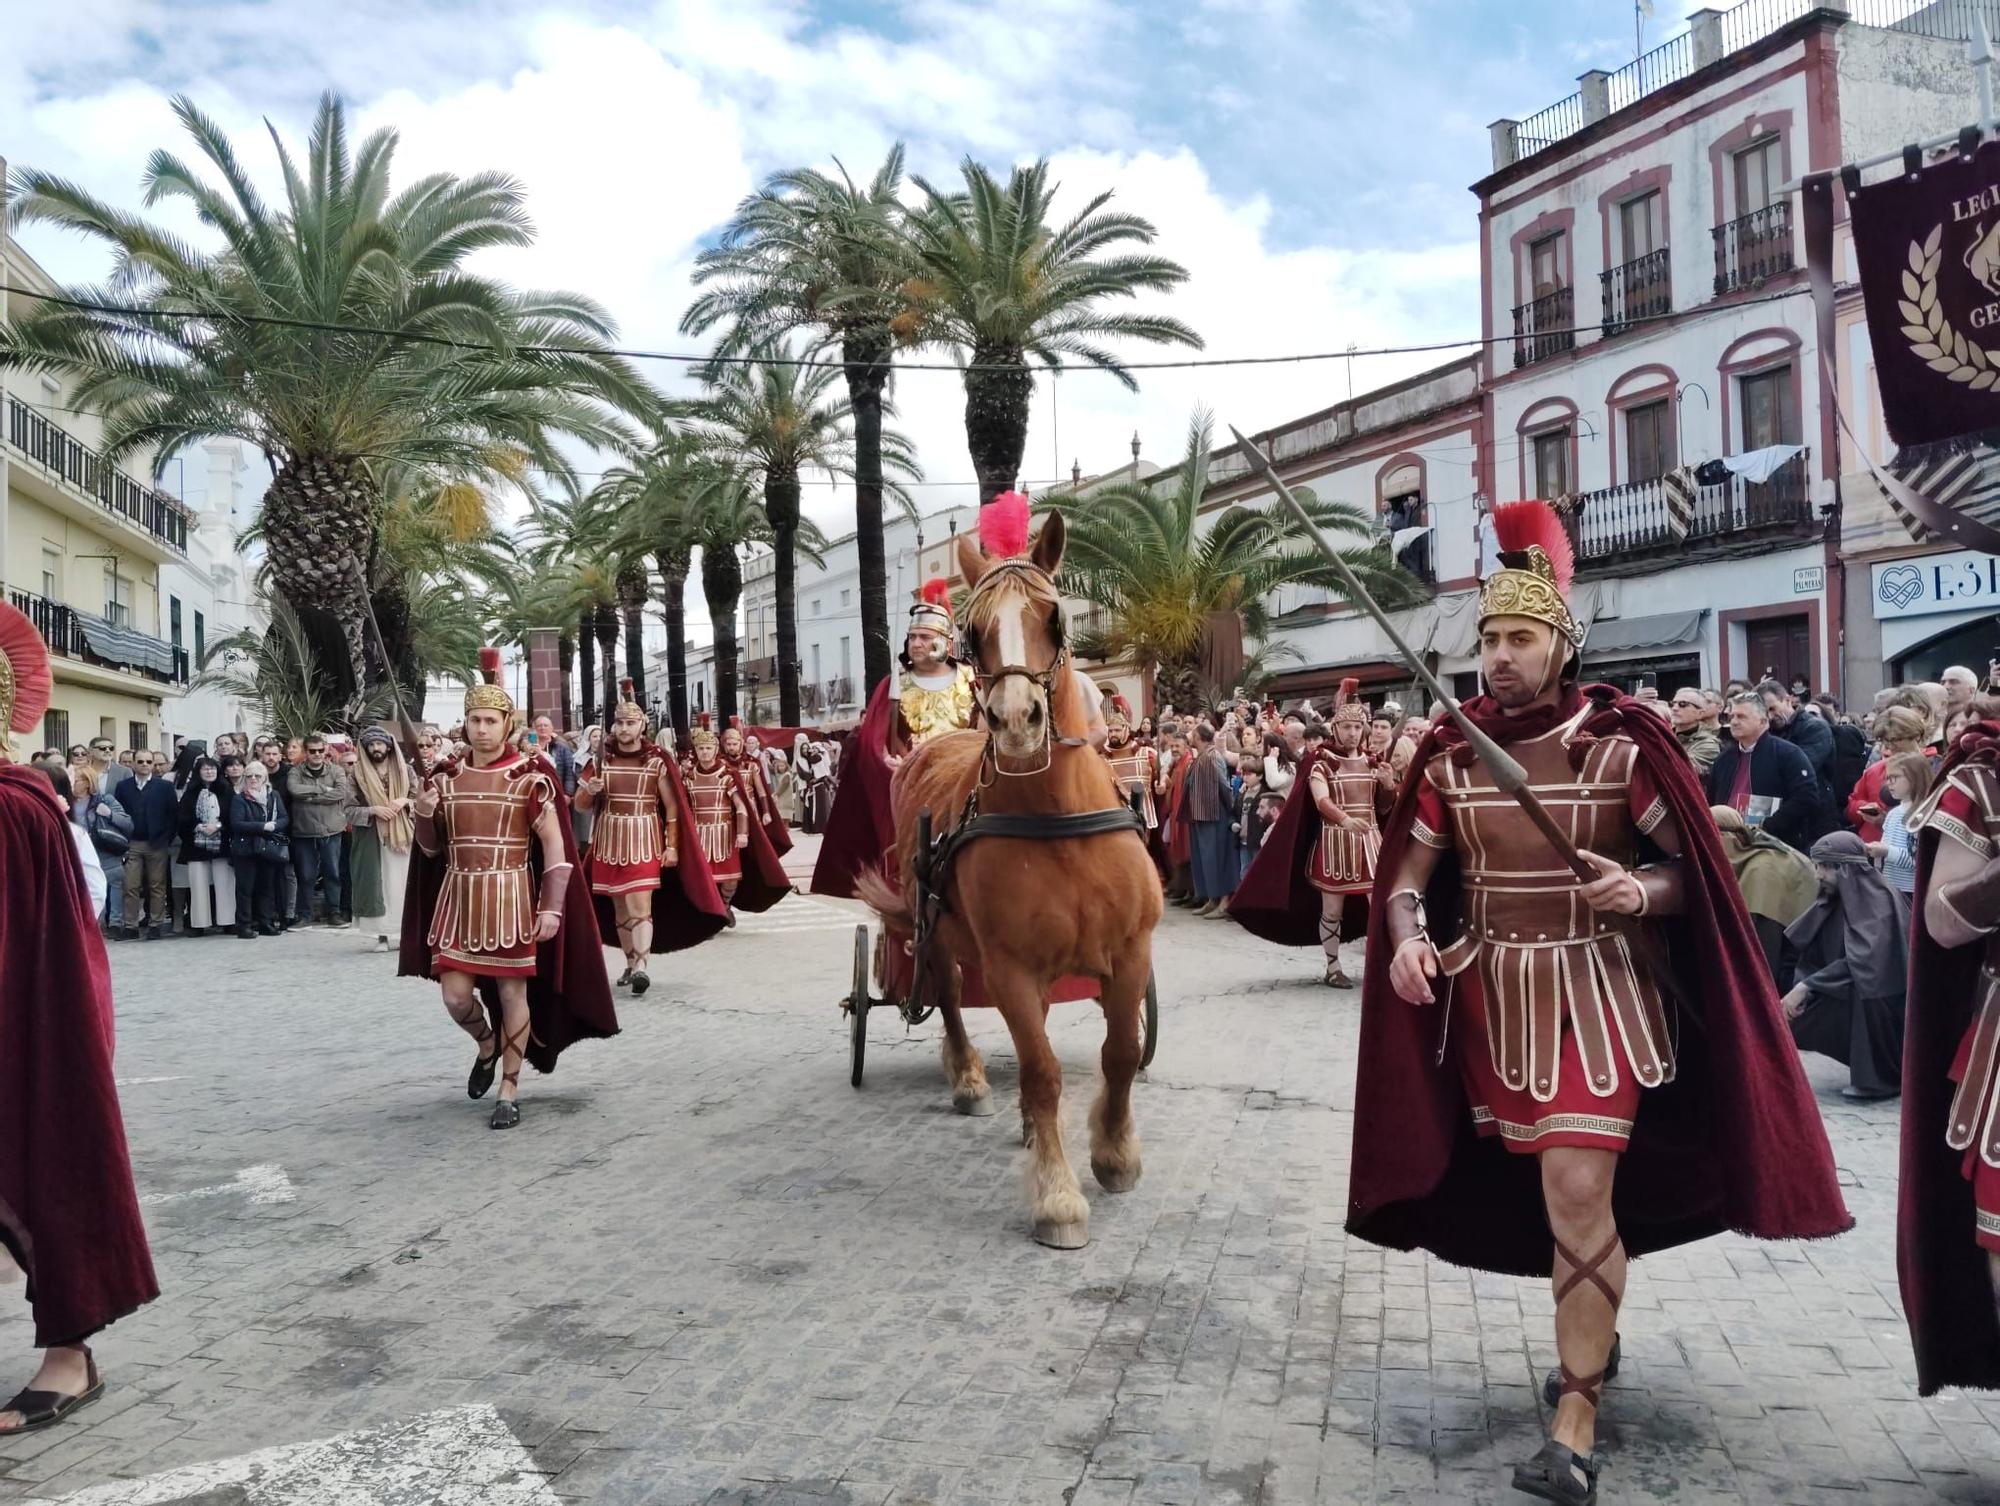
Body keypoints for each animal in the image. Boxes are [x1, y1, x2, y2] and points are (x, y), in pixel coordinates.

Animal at [856, 508, 1160, 1248]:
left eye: (1054, 616)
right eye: (973, 632)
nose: (1017, 720)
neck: (1058, 824)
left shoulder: (1130, 952)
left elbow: (1120, 1051)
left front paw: (1115, 1154)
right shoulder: (1010, 966)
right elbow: (1041, 1070)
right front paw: (1057, 1195)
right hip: (936, 930)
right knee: (949, 992)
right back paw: (967, 1077)